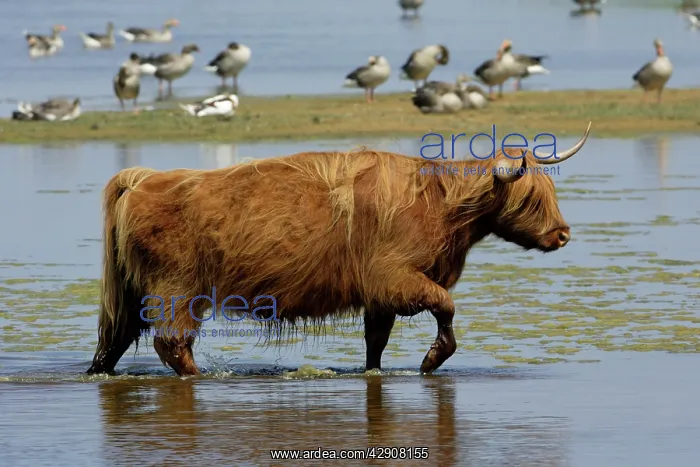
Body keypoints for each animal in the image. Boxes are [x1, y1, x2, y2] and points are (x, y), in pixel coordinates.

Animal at [87, 123, 591, 376]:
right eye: (530, 198)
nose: (562, 234)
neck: (442, 207)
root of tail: (144, 179)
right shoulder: (395, 277)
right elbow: (445, 306)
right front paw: (432, 359)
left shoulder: (380, 295)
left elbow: (376, 342)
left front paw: (375, 373)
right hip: (177, 287)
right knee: (172, 343)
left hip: (133, 292)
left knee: (115, 340)